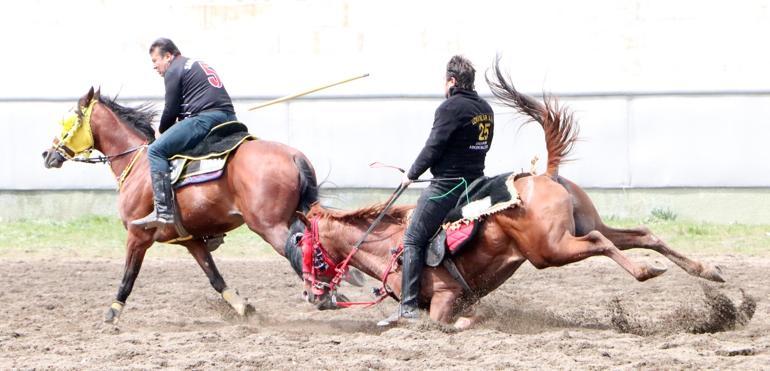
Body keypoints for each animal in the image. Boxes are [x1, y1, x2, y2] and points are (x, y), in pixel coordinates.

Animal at [41, 88, 318, 324]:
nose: (47, 154)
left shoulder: (137, 235)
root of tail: (294, 156)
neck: (139, 164)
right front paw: (243, 308)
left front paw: (112, 312)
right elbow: (215, 277)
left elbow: (129, 276)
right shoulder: (191, 240)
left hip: (269, 226)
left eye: (68, 122)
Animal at [292, 65, 724, 330]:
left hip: (551, 249)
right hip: (582, 226)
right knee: (641, 234)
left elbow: (442, 319)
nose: (311, 295)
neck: (388, 245)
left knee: (600, 242)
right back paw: (706, 271)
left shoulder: (446, 297)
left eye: (307, 247)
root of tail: (545, 174)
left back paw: (646, 271)